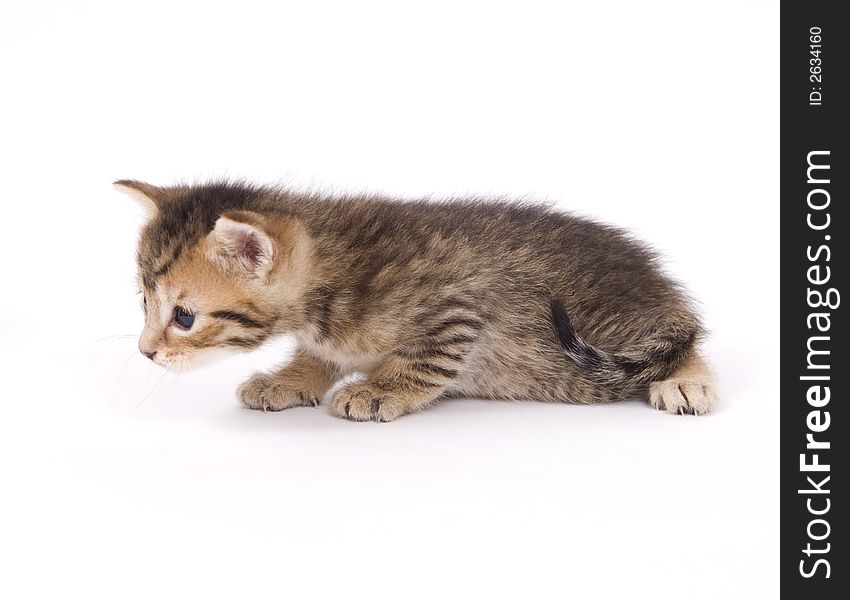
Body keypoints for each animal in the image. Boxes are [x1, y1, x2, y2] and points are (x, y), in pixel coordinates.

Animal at [116, 180, 716, 420]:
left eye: (184, 317)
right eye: (144, 304)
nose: (144, 352)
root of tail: (658, 279)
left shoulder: (458, 310)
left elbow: (424, 362)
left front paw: (379, 389)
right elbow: (319, 355)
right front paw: (290, 378)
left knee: (685, 342)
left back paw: (686, 381)